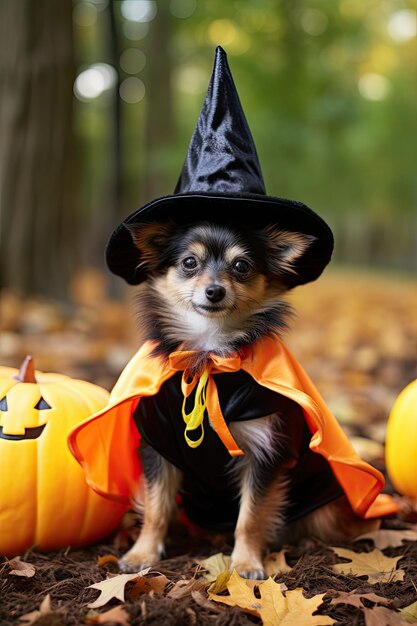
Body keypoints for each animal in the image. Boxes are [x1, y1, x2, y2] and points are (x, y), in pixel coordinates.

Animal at [116, 218, 376, 576]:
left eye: (241, 266)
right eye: (189, 262)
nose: (215, 291)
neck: (210, 357)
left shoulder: (264, 451)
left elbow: (251, 516)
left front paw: (245, 562)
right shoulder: (159, 445)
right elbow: (157, 509)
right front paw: (142, 554)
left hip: (321, 501)